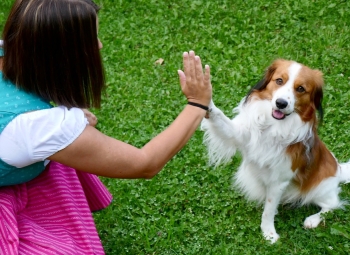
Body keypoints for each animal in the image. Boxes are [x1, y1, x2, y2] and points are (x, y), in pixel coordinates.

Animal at [201, 59, 350, 243]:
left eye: (301, 88)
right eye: (279, 80)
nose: (281, 103)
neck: (275, 127)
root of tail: (339, 170)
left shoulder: (279, 181)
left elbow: (269, 210)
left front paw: (268, 233)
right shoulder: (240, 135)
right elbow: (220, 119)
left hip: (320, 190)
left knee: (332, 205)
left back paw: (313, 220)